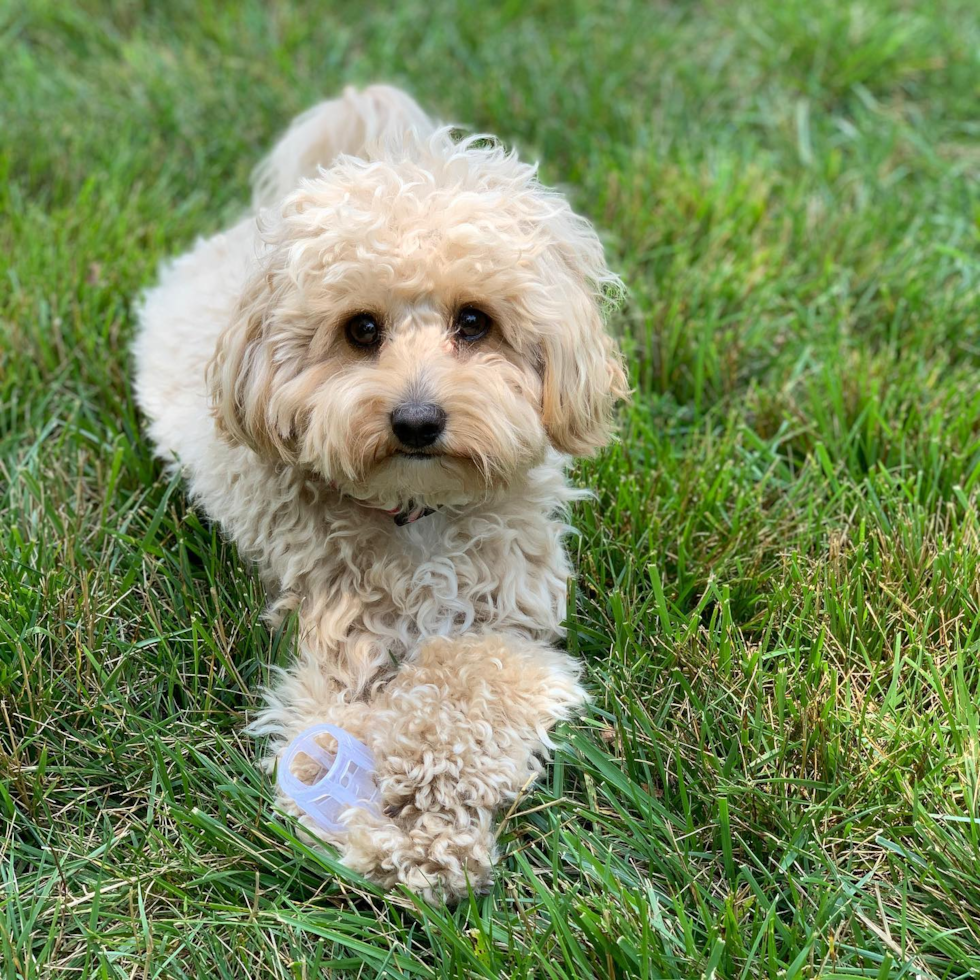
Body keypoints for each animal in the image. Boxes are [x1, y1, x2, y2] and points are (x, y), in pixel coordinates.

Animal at [132, 86, 628, 904]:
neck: (415, 511)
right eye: (361, 330)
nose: (417, 421)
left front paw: (427, 811)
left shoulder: (514, 634)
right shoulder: (332, 643)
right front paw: (384, 830)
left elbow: (463, 686)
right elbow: (328, 725)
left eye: (474, 322)